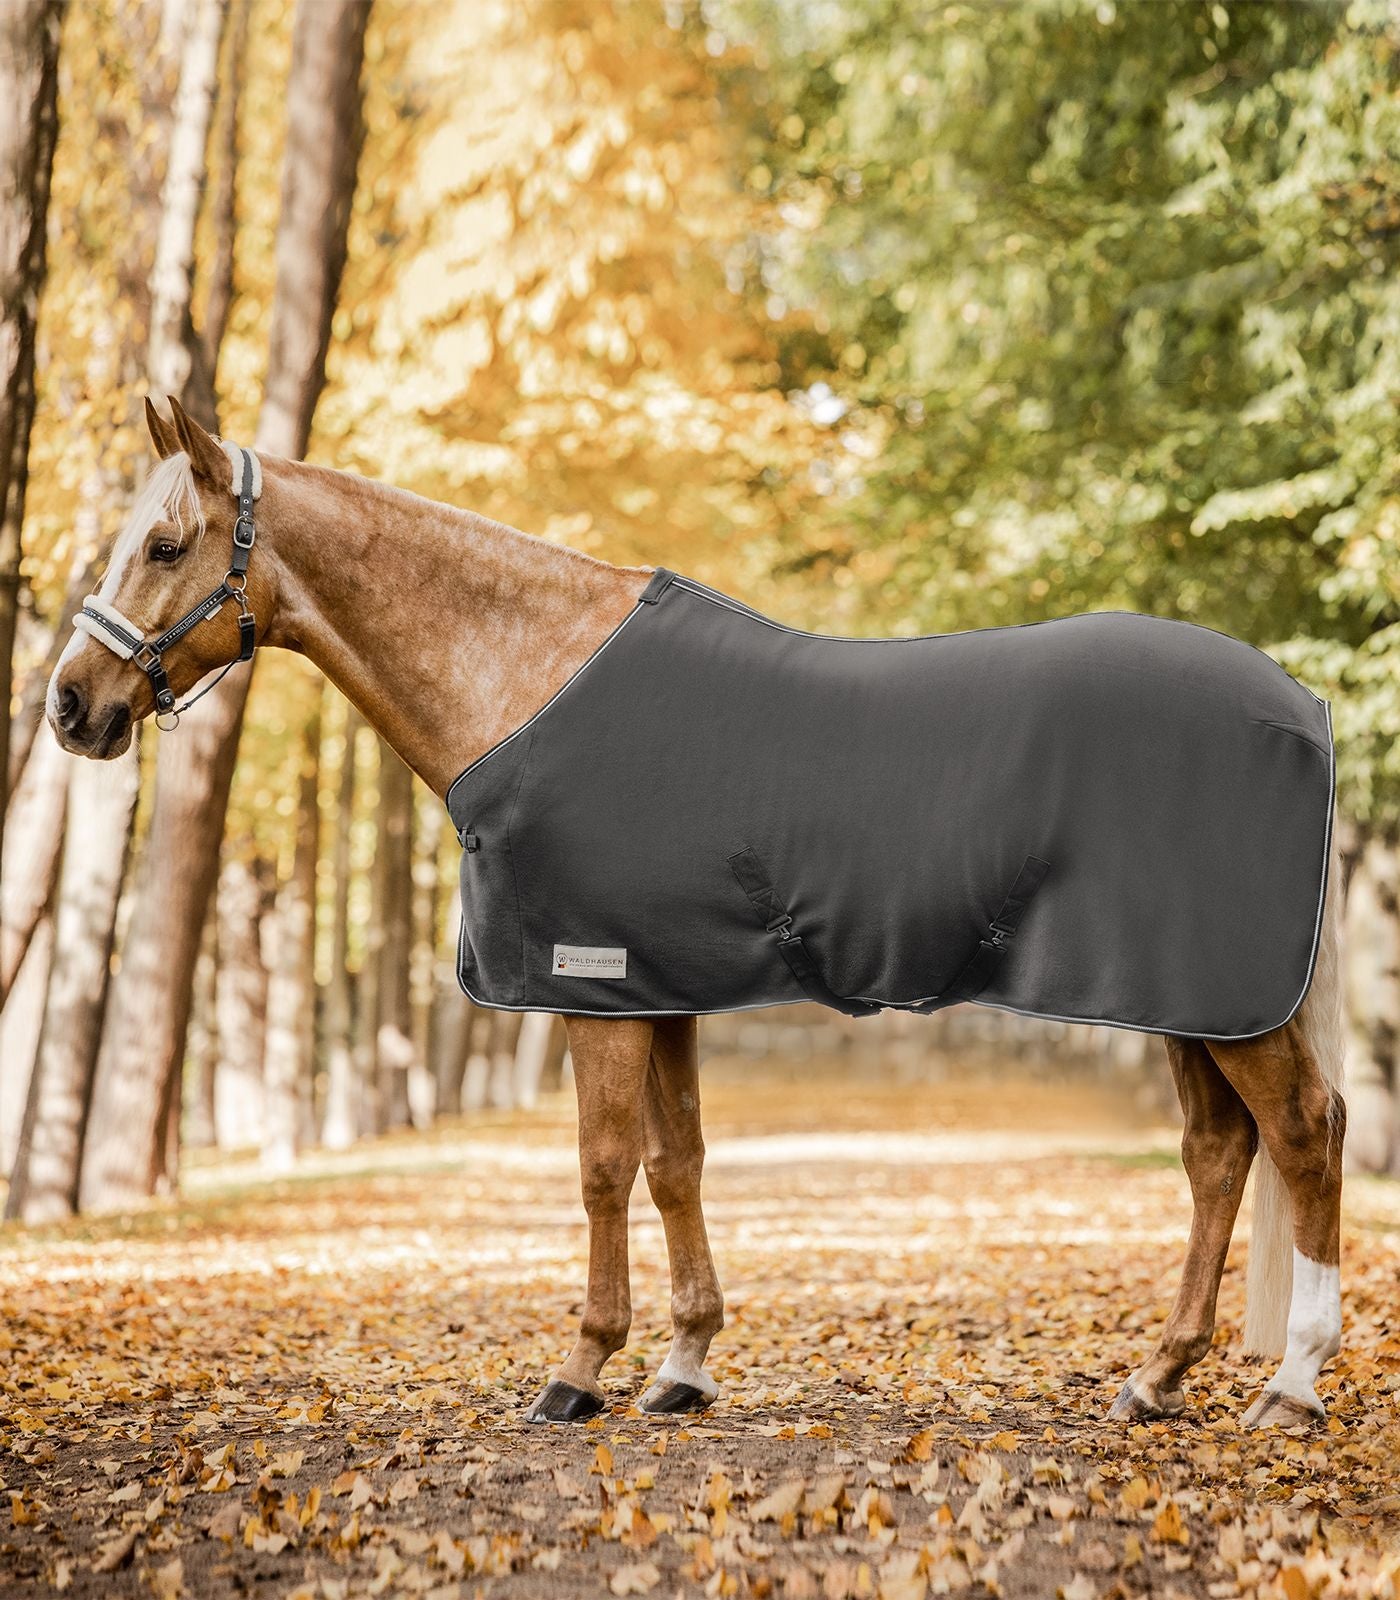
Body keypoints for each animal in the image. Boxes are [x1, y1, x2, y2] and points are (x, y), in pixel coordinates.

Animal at [46, 396, 1346, 1429]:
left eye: (164, 543)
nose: (70, 706)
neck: (529, 675)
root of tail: (1300, 703)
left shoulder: (590, 982)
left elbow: (602, 1168)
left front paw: (579, 1369)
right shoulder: (657, 984)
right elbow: (677, 1163)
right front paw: (682, 1365)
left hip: (1223, 998)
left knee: (1302, 1132)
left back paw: (1289, 1385)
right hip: (1189, 999)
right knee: (1217, 1152)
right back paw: (1157, 1378)